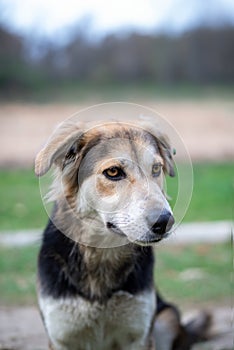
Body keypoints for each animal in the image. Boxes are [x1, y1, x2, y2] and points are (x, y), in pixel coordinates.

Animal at [34, 119, 210, 348]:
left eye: (156, 169)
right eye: (113, 172)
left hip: (167, 318)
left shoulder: (139, 334)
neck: (101, 255)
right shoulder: (61, 336)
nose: (165, 222)